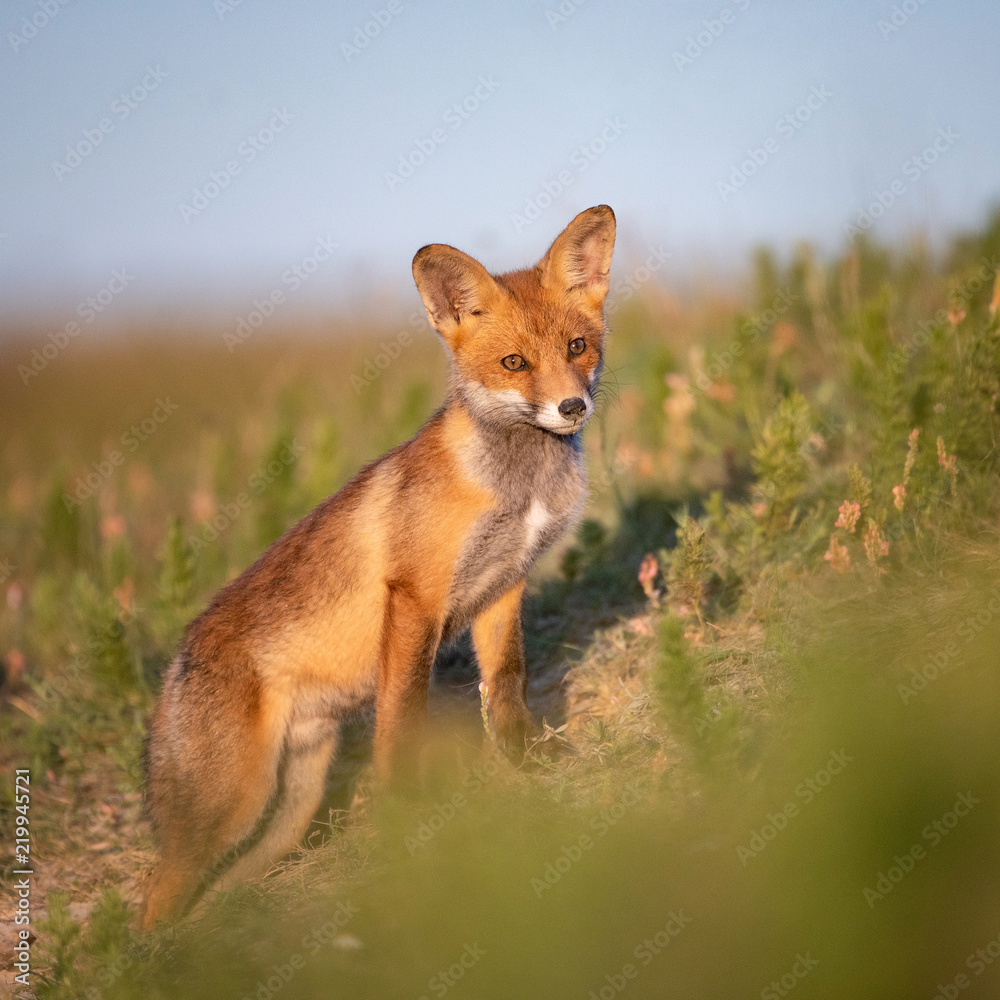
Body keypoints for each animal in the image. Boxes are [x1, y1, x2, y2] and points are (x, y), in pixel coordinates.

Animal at [137, 203, 612, 928]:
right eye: (514, 362)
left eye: (577, 348)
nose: (571, 407)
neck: (517, 489)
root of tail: (179, 655)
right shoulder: (416, 599)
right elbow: (402, 720)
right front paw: (405, 816)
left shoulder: (504, 586)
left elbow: (506, 685)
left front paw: (525, 762)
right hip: (231, 802)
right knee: (154, 894)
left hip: (292, 804)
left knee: (228, 879)